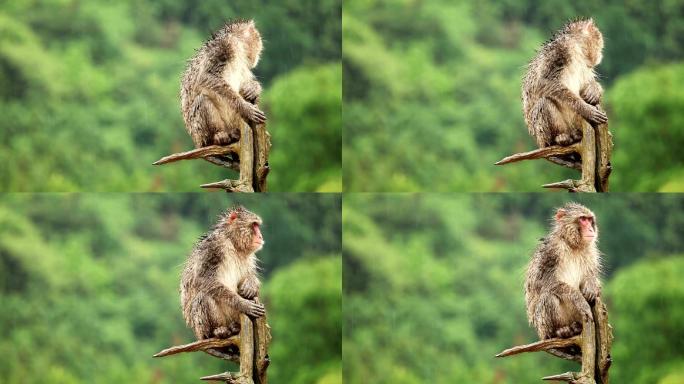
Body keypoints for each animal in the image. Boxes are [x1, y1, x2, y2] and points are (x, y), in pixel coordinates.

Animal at [180, 19, 266, 166]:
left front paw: (253, 88)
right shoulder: (223, 47)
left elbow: (246, 86)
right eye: (257, 39)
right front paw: (246, 108)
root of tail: (197, 142)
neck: (238, 47)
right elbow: (206, 77)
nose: (258, 53)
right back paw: (219, 135)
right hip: (199, 132)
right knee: (203, 100)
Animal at [180, 206, 266, 344]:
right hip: (201, 328)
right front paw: (243, 304)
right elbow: (203, 279)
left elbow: (248, 275)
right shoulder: (212, 247)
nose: (260, 236)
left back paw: (236, 327)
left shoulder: (248, 257)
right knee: (204, 295)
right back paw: (218, 330)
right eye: (254, 225)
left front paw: (251, 284)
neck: (232, 242)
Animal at [524, 18, 608, 149]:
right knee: (544, 103)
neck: (577, 50)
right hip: (541, 134)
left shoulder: (584, 64)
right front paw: (585, 109)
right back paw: (560, 137)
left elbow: (586, 84)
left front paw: (594, 90)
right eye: (598, 43)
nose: (600, 54)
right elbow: (543, 82)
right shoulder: (559, 51)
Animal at [528, 201, 600, 340]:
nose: (590, 229)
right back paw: (561, 331)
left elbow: (590, 275)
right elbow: (545, 283)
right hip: (542, 326)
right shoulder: (551, 251)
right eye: (583, 219)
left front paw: (591, 285)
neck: (572, 244)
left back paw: (575, 328)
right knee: (548, 296)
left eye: (590, 220)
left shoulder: (590, 251)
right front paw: (580, 300)